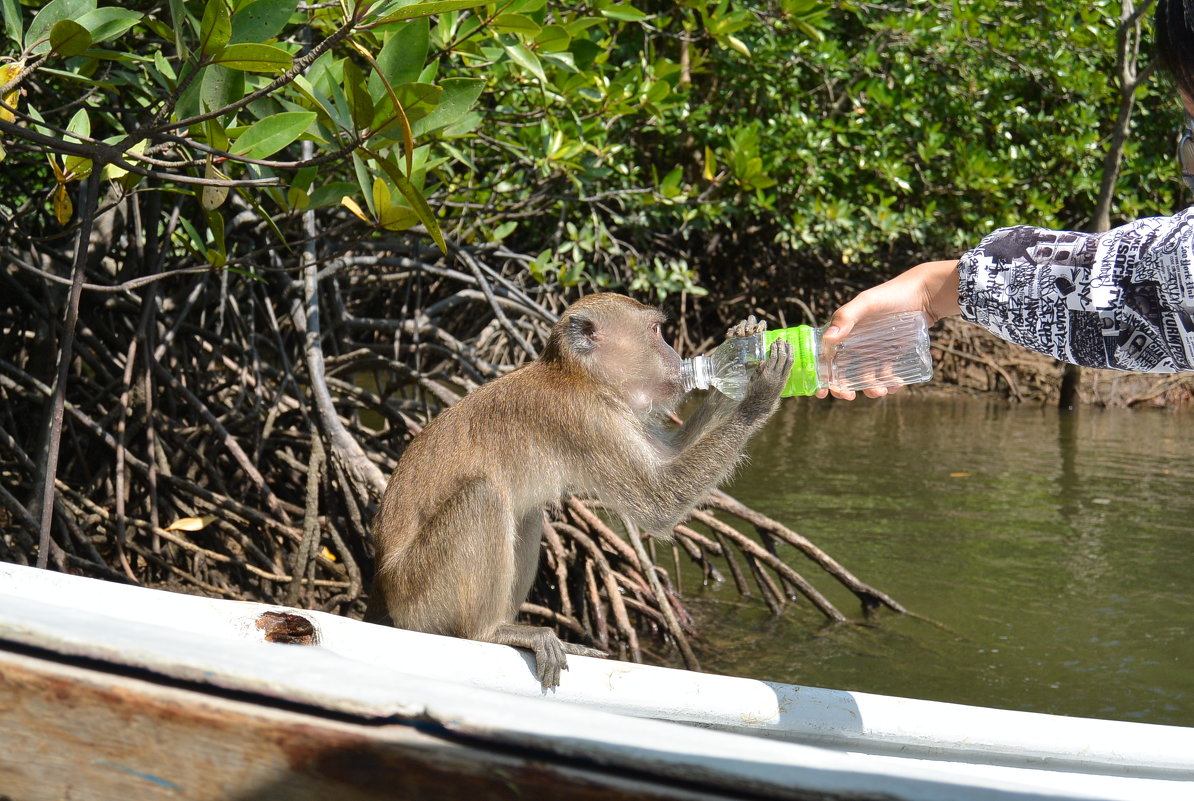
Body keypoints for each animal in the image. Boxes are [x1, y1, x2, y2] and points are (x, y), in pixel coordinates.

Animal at [365, 292, 792, 687]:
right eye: (656, 331)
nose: (675, 356)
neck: (581, 375)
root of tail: (383, 592)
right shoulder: (586, 418)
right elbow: (660, 501)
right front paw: (762, 389)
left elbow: (668, 457)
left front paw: (741, 351)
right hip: (420, 598)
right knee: (483, 497)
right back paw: (490, 632)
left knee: (525, 513)